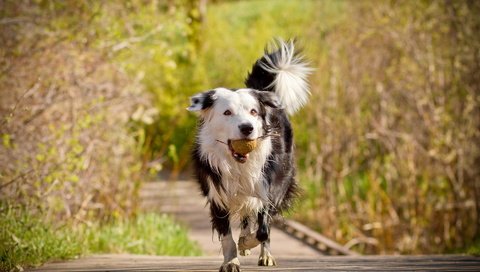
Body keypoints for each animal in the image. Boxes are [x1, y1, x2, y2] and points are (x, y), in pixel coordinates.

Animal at [186, 38, 314, 272]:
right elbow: (227, 236)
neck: (239, 164)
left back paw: (264, 254)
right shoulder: (217, 194)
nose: (247, 128)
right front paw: (231, 261)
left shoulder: (269, 189)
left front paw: (248, 243)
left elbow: (263, 229)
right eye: (227, 112)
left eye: (254, 112)